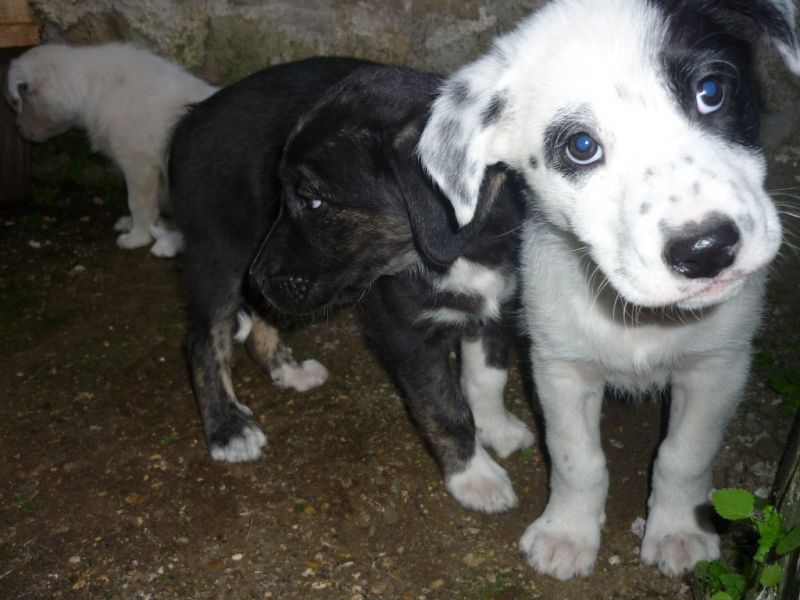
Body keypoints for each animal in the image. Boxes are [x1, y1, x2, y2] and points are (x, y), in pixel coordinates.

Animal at [3, 43, 219, 255]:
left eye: (16, 105)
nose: (17, 128)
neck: (94, 87)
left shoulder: (139, 165)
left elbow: (137, 204)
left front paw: (137, 237)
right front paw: (137, 225)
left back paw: (166, 245)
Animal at [250, 64, 536, 510]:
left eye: (314, 202)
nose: (257, 278)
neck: (465, 252)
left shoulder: (495, 307)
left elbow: (488, 378)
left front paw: (497, 429)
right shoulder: (406, 334)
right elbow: (444, 409)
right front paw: (475, 476)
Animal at [418, 0, 800, 580]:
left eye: (711, 91)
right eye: (581, 147)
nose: (706, 249)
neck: (643, 321)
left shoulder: (718, 365)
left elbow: (684, 456)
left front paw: (679, 530)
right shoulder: (560, 368)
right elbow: (578, 460)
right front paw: (567, 535)